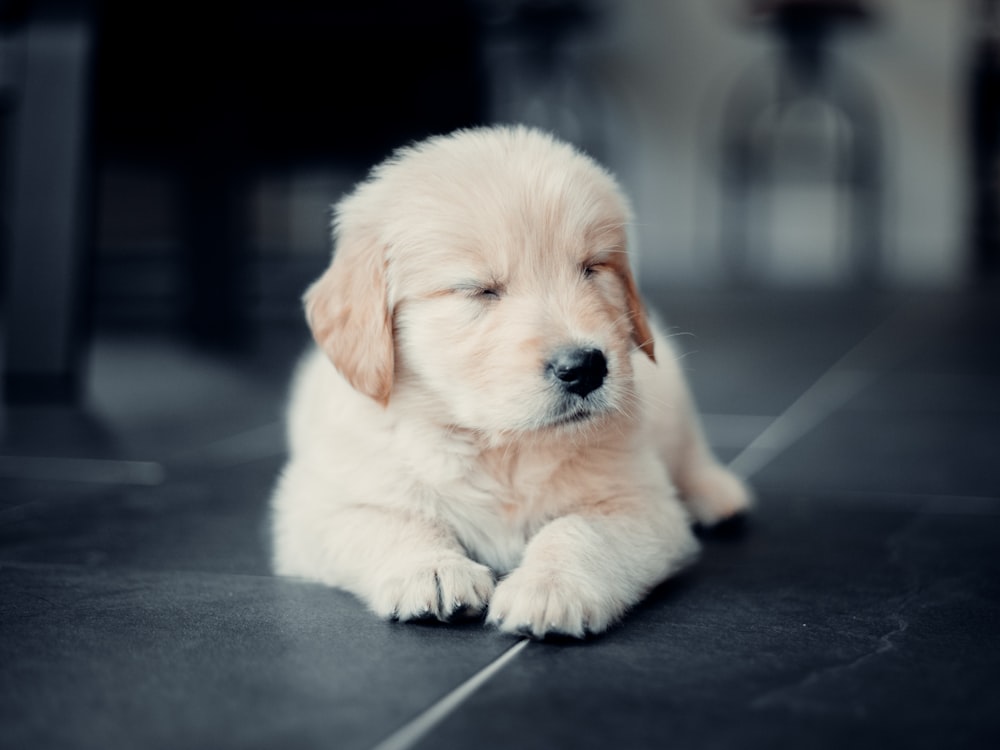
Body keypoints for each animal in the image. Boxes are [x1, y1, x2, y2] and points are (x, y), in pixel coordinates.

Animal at [270, 125, 752, 640]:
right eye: (479, 290)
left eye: (592, 268)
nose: (585, 367)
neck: (500, 448)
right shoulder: (320, 504)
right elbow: (388, 521)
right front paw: (433, 569)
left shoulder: (640, 503)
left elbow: (578, 531)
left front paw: (550, 586)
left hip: (673, 396)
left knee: (690, 451)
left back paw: (718, 494)